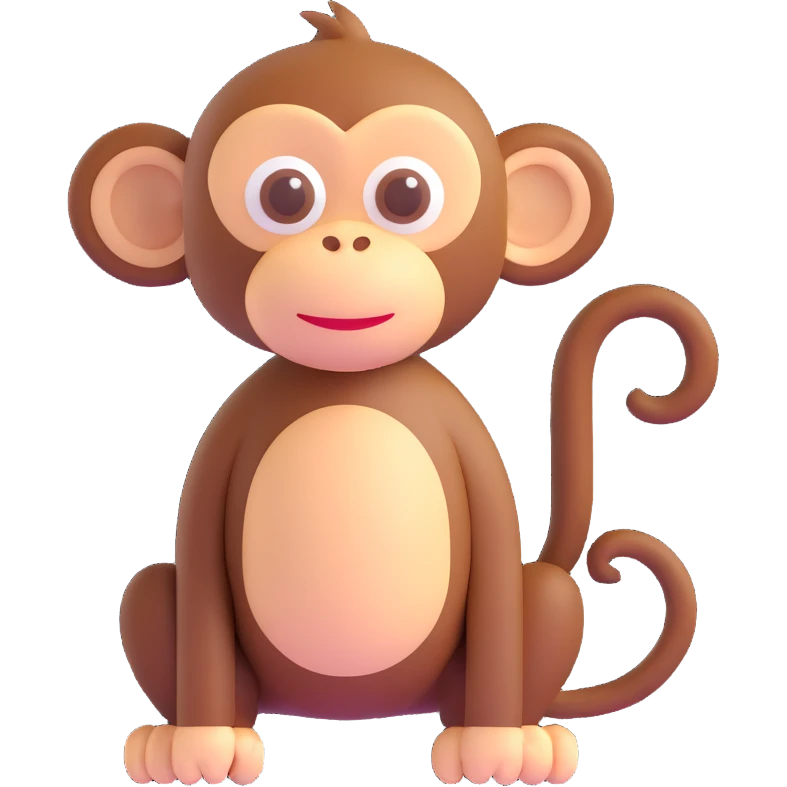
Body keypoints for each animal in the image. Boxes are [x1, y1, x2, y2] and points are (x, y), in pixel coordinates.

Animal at [68, 3, 718, 785]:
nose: (346, 243)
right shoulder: (222, 448)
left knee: (539, 598)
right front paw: (199, 744)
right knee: (154, 591)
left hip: (521, 621)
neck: (350, 383)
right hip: (192, 628)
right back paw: (193, 735)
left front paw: (496, 748)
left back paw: (520, 737)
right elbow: (197, 578)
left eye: (406, 194)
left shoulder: (469, 450)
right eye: (284, 194)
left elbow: (496, 572)